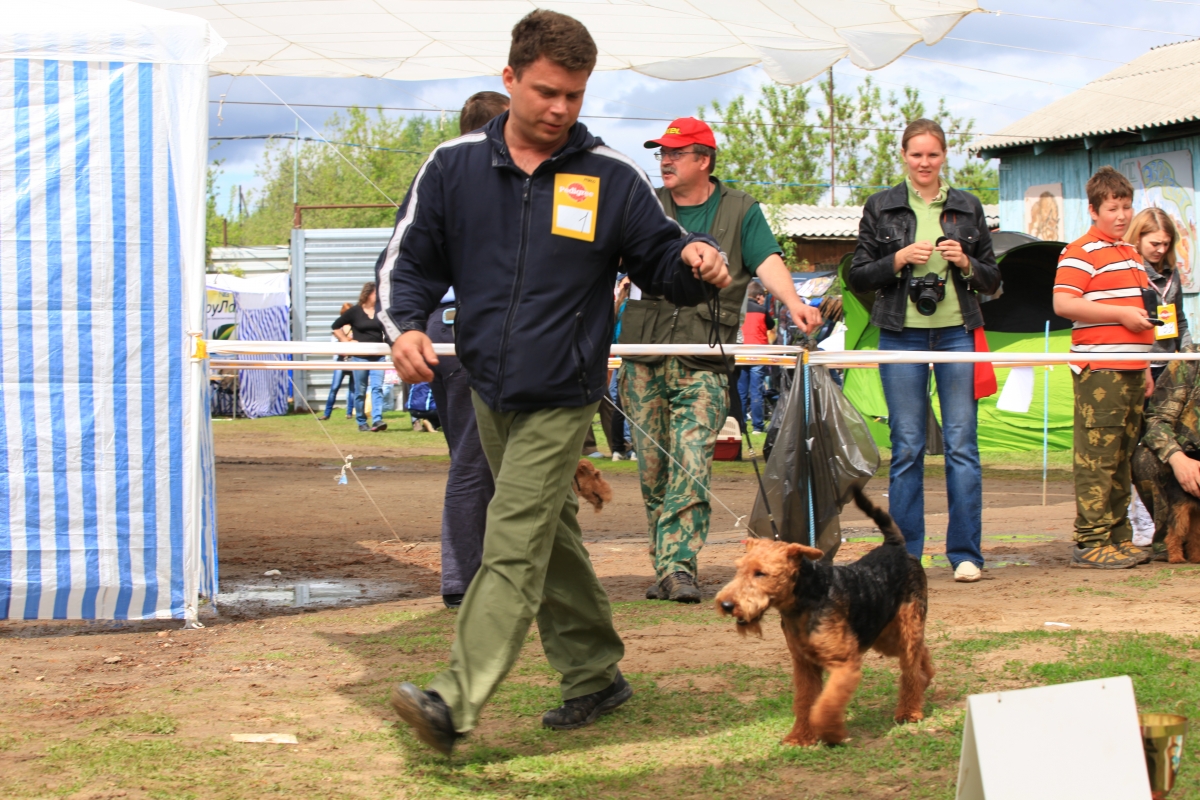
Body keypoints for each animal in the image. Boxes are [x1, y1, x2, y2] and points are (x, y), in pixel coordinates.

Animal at [710, 489, 936, 753]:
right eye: (739, 569)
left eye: (760, 573)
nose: (726, 605)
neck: (805, 599)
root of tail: (895, 546)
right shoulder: (804, 664)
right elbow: (805, 701)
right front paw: (800, 737)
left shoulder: (844, 662)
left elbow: (825, 705)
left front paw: (832, 734)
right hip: (884, 635)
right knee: (921, 654)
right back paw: (926, 679)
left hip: (906, 627)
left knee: (910, 669)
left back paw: (910, 712)